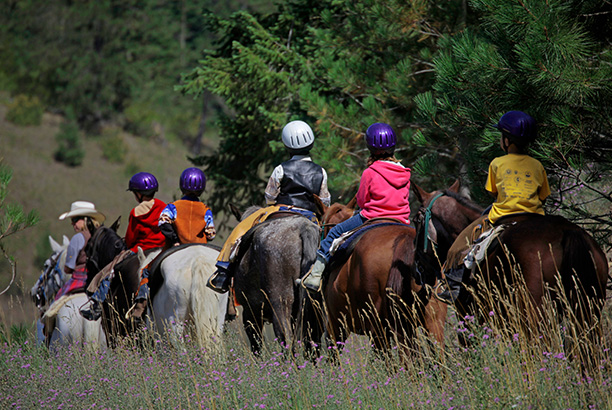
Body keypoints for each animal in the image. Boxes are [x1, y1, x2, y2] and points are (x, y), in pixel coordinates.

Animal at [414, 181, 608, 354]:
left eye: (417, 220)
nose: (417, 269)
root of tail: (569, 232)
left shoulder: (467, 313)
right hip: (588, 312)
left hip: (534, 315)